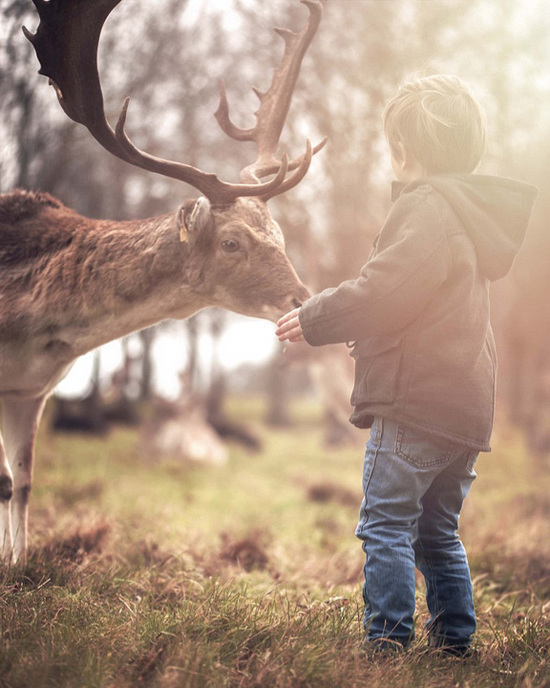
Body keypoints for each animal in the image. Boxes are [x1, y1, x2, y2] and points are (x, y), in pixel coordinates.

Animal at [0, 0, 326, 560]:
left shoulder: (28, 392)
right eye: (231, 242)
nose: (300, 299)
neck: (29, 332)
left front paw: (18, 565)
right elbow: (5, 483)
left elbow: (22, 483)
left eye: (280, 234)